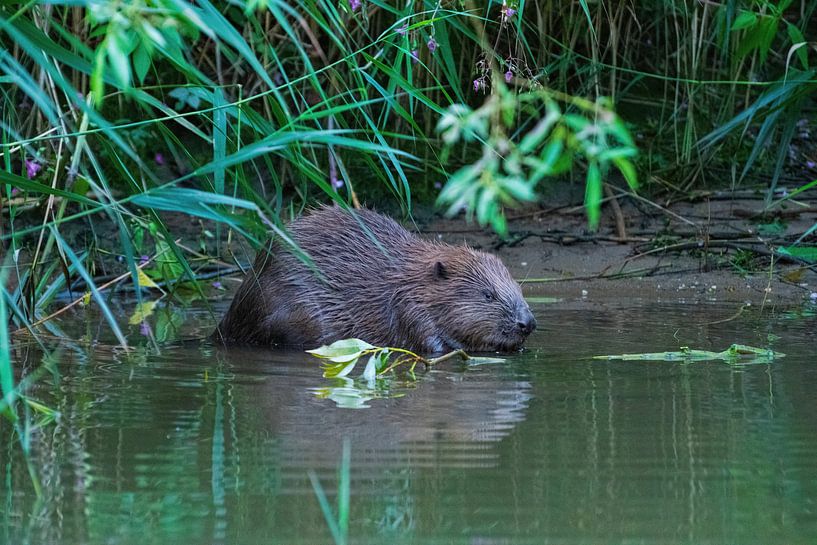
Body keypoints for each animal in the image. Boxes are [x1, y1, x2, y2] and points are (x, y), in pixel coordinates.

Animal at [214, 205, 536, 352]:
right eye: (488, 294)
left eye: (518, 287)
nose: (528, 323)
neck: (409, 279)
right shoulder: (408, 308)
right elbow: (429, 342)